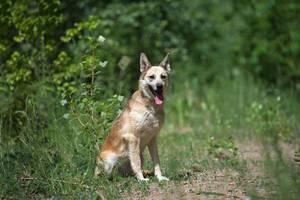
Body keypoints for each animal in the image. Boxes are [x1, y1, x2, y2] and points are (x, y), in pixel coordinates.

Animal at [95, 52, 172, 181]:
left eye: (163, 76)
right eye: (151, 77)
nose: (159, 86)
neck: (150, 107)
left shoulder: (152, 139)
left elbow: (156, 161)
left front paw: (159, 177)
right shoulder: (133, 138)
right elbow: (136, 162)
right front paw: (141, 180)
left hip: (140, 155)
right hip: (111, 159)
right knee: (107, 174)